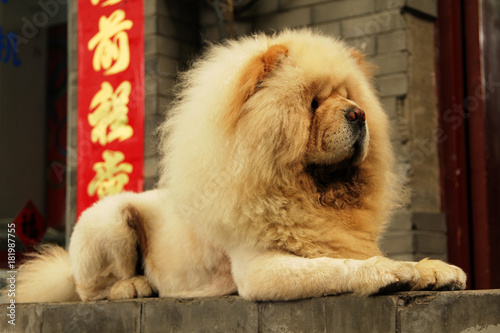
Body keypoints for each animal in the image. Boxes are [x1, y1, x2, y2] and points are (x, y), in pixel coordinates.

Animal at [12, 29, 464, 302]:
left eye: (349, 96)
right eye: (313, 103)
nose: (358, 114)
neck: (310, 193)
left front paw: (435, 270)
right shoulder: (261, 268)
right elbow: (334, 267)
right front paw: (390, 271)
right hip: (109, 221)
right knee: (88, 288)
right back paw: (135, 286)